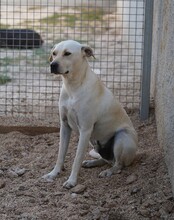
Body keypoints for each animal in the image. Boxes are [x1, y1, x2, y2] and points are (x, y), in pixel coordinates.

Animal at [42, 40, 137, 188]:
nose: (52, 65)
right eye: (54, 53)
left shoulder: (85, 130)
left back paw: (108, 171)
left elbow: (77, 158)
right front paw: (54, 173)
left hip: (122, 137)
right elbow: (60, 155)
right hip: (96, 143)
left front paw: (71, 181)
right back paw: (92, 163)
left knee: (118, 165)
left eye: (67, 53)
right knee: (107, 160)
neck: (73, 87)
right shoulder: (64, 126)